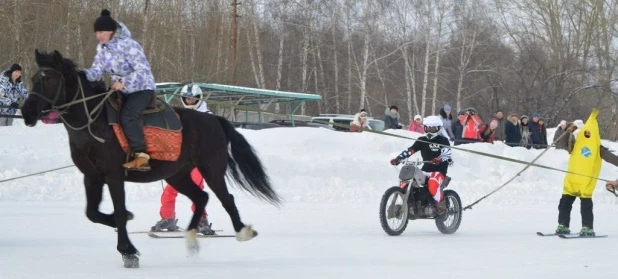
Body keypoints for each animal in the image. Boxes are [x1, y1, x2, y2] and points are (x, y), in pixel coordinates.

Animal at [20, 50, 282, 270]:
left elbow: (116, 211)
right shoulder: (92, 176)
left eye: (49, 79)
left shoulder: (114, 175)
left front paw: (128, 252)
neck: (94, 123)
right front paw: (125, 222)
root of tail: (214, 119)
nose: (26, 113)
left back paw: (241, 231)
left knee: (225, 198)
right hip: (177, 175)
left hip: (211, 169)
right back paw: (190, 238)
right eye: (33, 78)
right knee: (201, 197)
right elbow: (93, 213)